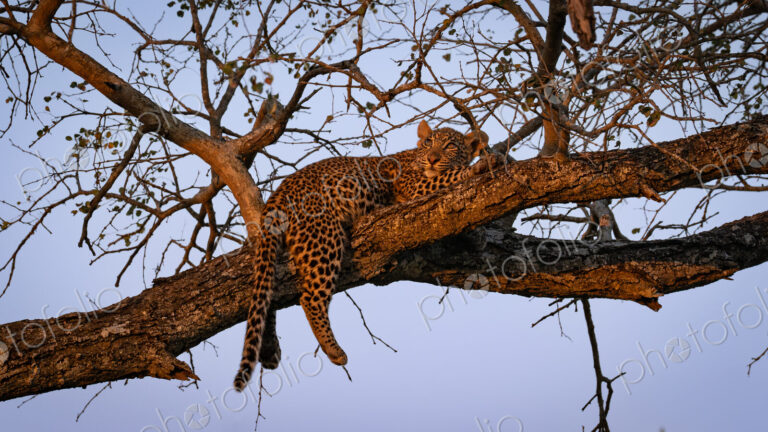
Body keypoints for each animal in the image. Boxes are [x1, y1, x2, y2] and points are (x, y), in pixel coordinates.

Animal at [234, 120, 502, 391]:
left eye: (449, 146)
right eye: (428, 143)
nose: (432, 158)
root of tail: (276, 196)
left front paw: (477, 235)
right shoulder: (416, 186)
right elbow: (451, 177)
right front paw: (483, 165)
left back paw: (270, 350)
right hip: (323, 235)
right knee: (310, 297)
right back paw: (334, 350)